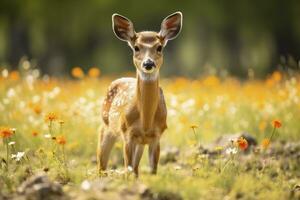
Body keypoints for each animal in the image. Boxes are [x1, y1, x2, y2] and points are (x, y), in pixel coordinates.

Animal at [98, 11, 183, 177]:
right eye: (136, 47)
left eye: (159, 47)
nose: (148, 63)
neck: (146, 123)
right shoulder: (127, 134)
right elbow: (127, 169)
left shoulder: (157, 135)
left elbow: (152, 170)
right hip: (106, 127)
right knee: (102, 165)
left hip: (140, 143)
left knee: (136, 169)